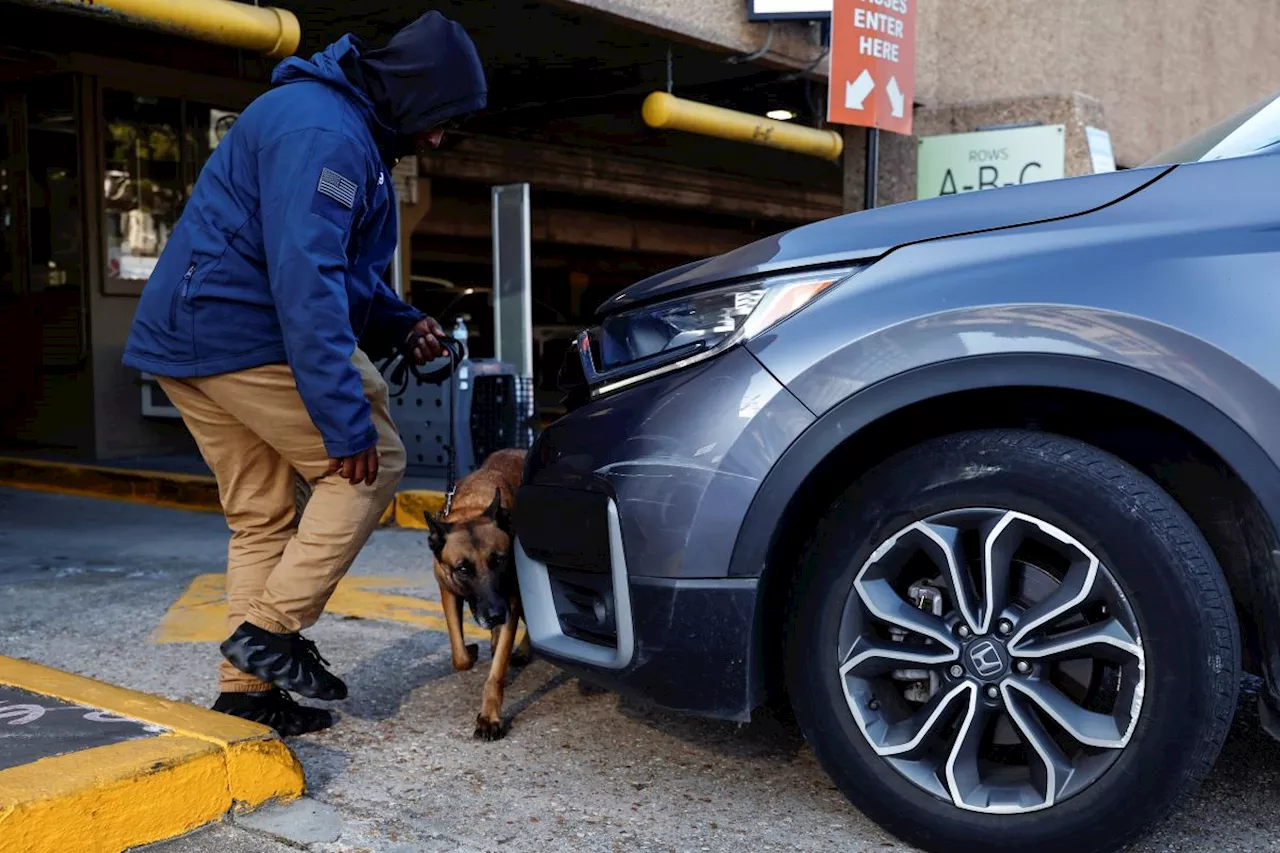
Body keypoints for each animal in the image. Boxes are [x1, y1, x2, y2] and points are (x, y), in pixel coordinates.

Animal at [424, 445, 529, 737]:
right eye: (463, 569)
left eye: (499, 560)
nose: (494, 616)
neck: (472, 509)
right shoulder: (448, 592)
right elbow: (459, 656)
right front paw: (469, 652)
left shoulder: (511, 602)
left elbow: (496, 673)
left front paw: (490, 717)